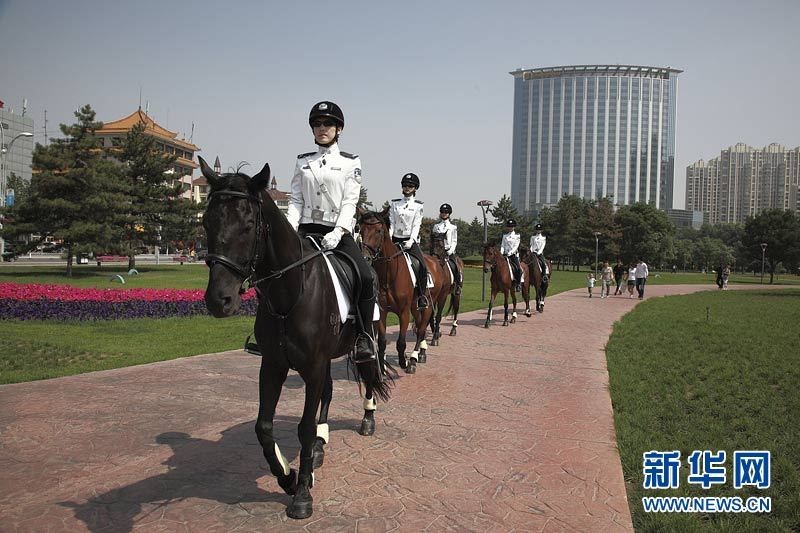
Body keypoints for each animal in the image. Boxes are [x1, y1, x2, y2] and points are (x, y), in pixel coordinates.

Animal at [198, 158, 390, 520]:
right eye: (206, 222)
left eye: (248, 225)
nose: (219, 300)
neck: (290, 293)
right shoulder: (273, 365)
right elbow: (263, 427)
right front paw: (287, 476)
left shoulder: (312, 366)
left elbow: (303, 426)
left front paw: (301, 494)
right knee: (327, 393)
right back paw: (320, 445)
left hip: (370, 338)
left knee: (370, 372)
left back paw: (367, 419)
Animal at [358, 209, 446, 374]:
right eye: (360, 230)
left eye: (379, 231)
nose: (365, 258)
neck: (389, 275)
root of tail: (436, 263)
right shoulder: (382, 312)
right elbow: (382, 341)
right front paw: (383, 367)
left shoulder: (404, 312)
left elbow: (401, 341)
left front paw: (404, 361)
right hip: (415, 307)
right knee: (419, 326)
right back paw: (421, 353)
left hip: (427, 305)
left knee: (421, 329)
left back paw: (413, 359)